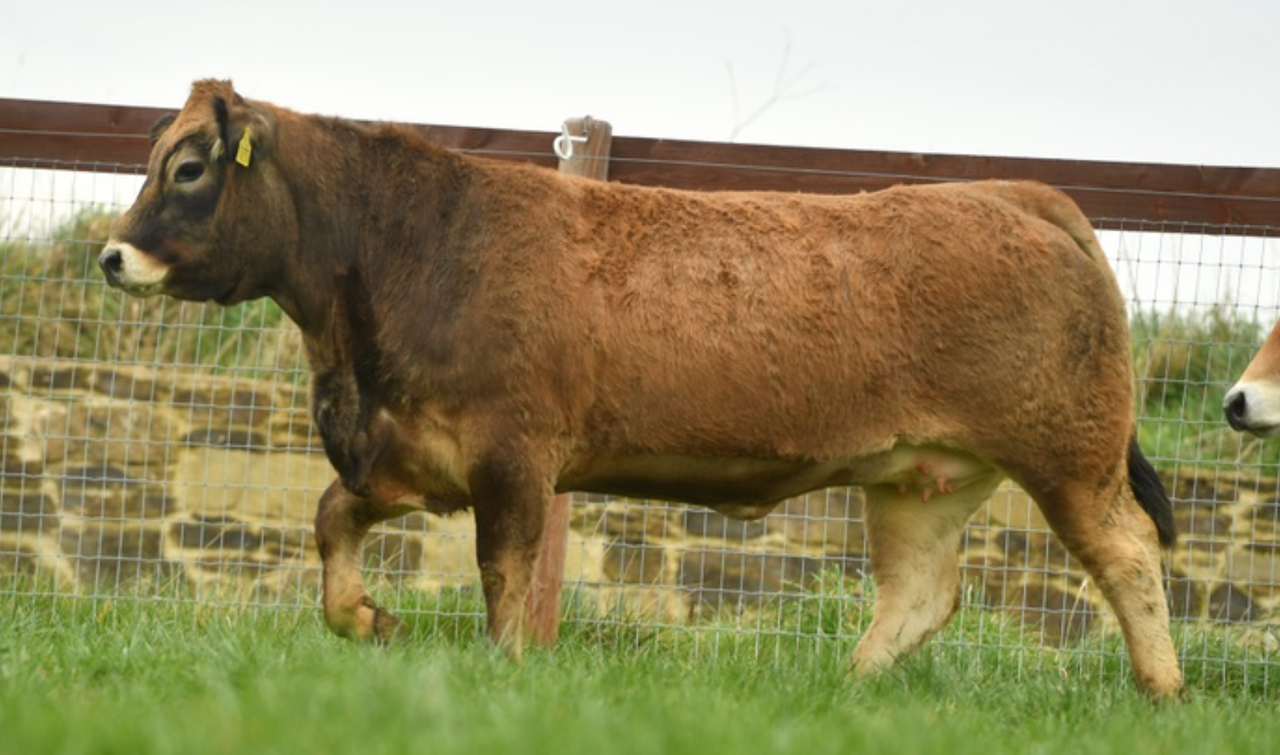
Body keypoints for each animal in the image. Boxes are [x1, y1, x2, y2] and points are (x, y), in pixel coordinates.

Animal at [98, 80, 1182, 699]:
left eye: (188, 168)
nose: (112, 255)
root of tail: (1009, 190)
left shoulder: (512, 459)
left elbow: (505, 581)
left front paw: (504, 677)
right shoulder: (409, 451)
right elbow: (330, 520)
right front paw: (369, 618)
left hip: (1067, 452)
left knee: (1128, 555)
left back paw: (1161, 688)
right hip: (921, 476)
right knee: (921, 591)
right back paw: (840, 691)